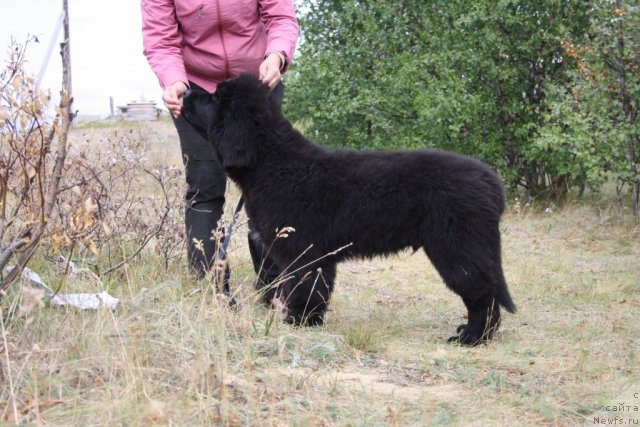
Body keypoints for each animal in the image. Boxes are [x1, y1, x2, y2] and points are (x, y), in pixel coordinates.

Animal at [180, 73, 516, 346]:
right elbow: (312, 288)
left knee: (481, 295)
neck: (272, 162)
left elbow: (305, 288)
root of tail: (492, 182)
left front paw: (297, 321)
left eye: (215, 97)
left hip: (457, 247)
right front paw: (309, 321)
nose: (183, 92)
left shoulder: (305, 252)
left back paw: (472, 337)